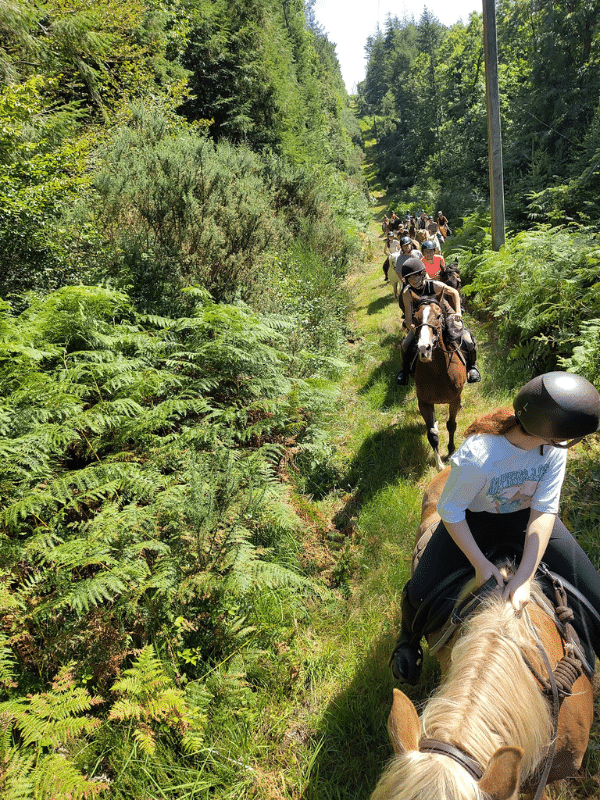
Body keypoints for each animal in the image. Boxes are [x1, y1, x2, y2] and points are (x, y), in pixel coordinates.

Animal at [412, 304, 464, 472]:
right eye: (415, 317)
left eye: (438, 316)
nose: (424, 349)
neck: (437, 372)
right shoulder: (424, 402)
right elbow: (432, 434)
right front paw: (439, 465)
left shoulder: (455, 399)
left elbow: (451, 425)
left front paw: (451, 452)